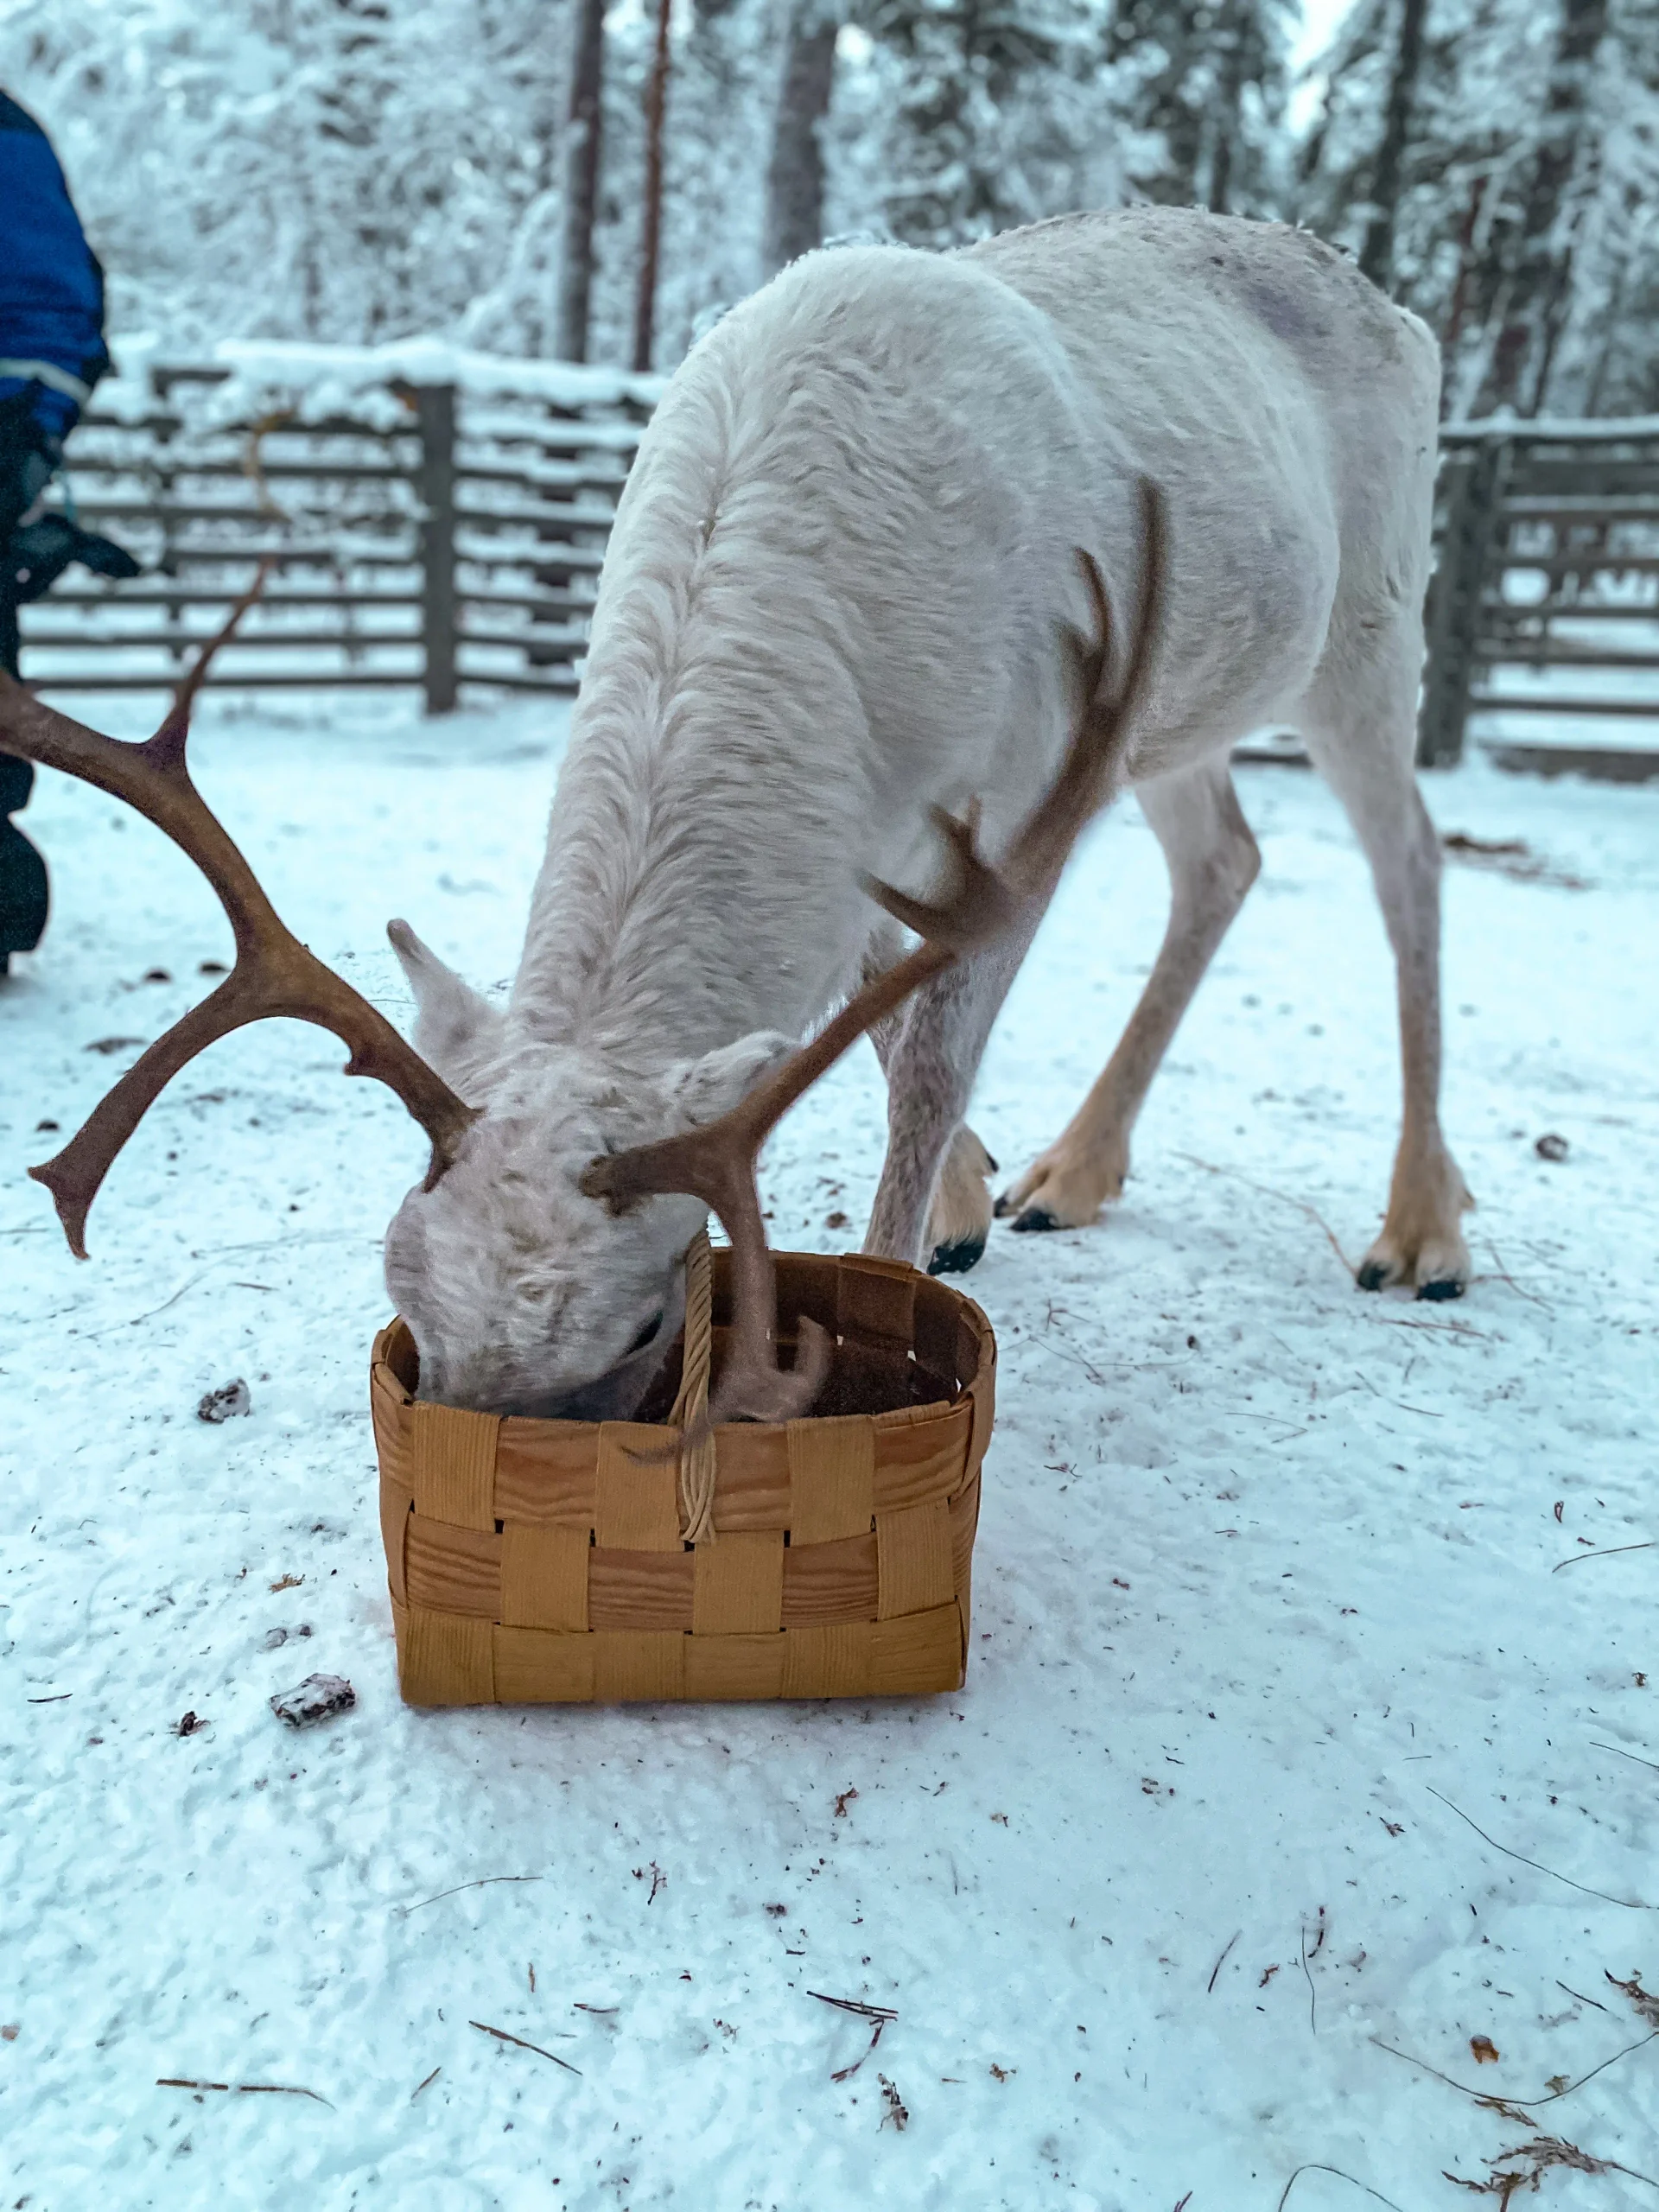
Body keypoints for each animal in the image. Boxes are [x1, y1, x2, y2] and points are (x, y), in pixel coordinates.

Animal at [3, 206, 1471, 1430]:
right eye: (401, 1279)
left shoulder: (1019, 805)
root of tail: (1402, 311)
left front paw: (902, 1270)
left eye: (647, 1318)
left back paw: (1422, 1229)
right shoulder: (890, 845)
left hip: (1369, 633)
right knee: (1226, 858)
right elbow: (865, 1018)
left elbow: (924, 1072)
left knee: (1413, 859)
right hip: (1183, 714)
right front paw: (964, 1203)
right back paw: (1072, 1170)